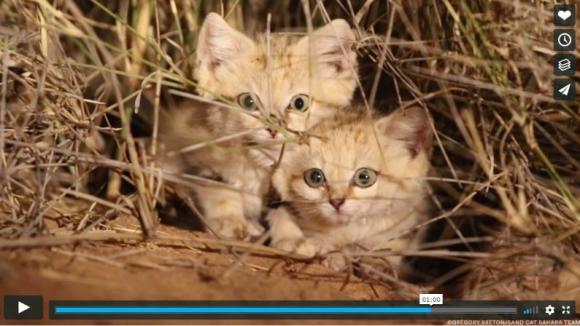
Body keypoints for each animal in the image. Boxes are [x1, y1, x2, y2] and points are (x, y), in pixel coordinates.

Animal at [160, 14, 358, 239]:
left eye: (300, 103)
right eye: (248, 102)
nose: (273, 128)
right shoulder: (193, 152)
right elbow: (217, 188)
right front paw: (229, 220)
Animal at [268, 107, 430, 270]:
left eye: (364, 177)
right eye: (315, 177)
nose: (337, 202)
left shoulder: (410, 217)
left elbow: (393, 245)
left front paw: (378, 263)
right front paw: (319, 250)